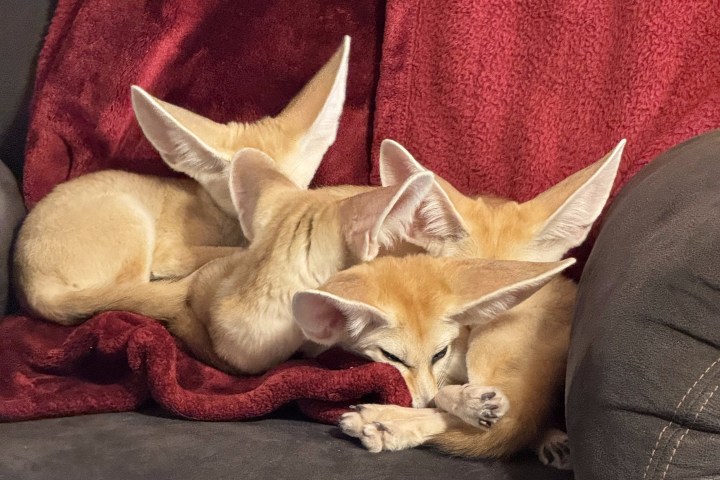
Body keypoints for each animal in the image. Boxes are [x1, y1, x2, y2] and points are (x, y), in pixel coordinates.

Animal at [13, 37, 351, 326]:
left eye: (291, 191)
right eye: (242, 195)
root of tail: (32, 287)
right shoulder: (169, 252)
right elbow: (224, 254)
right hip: (132, 218)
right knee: (136, 290)